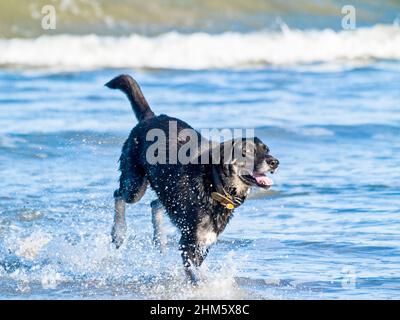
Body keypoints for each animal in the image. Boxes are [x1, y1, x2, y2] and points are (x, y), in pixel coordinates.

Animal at [105, 74, 278, 282]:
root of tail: (150, 117)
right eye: (247, 151)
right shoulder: (189, 243)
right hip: (135, 185)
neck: (214, 185)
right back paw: (119, 232)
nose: (274, 162)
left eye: (267, 150)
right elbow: (196, 276)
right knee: (119, 194)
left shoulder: (203, 242)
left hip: (167, 190)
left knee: (155, 203)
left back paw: (159, 238)